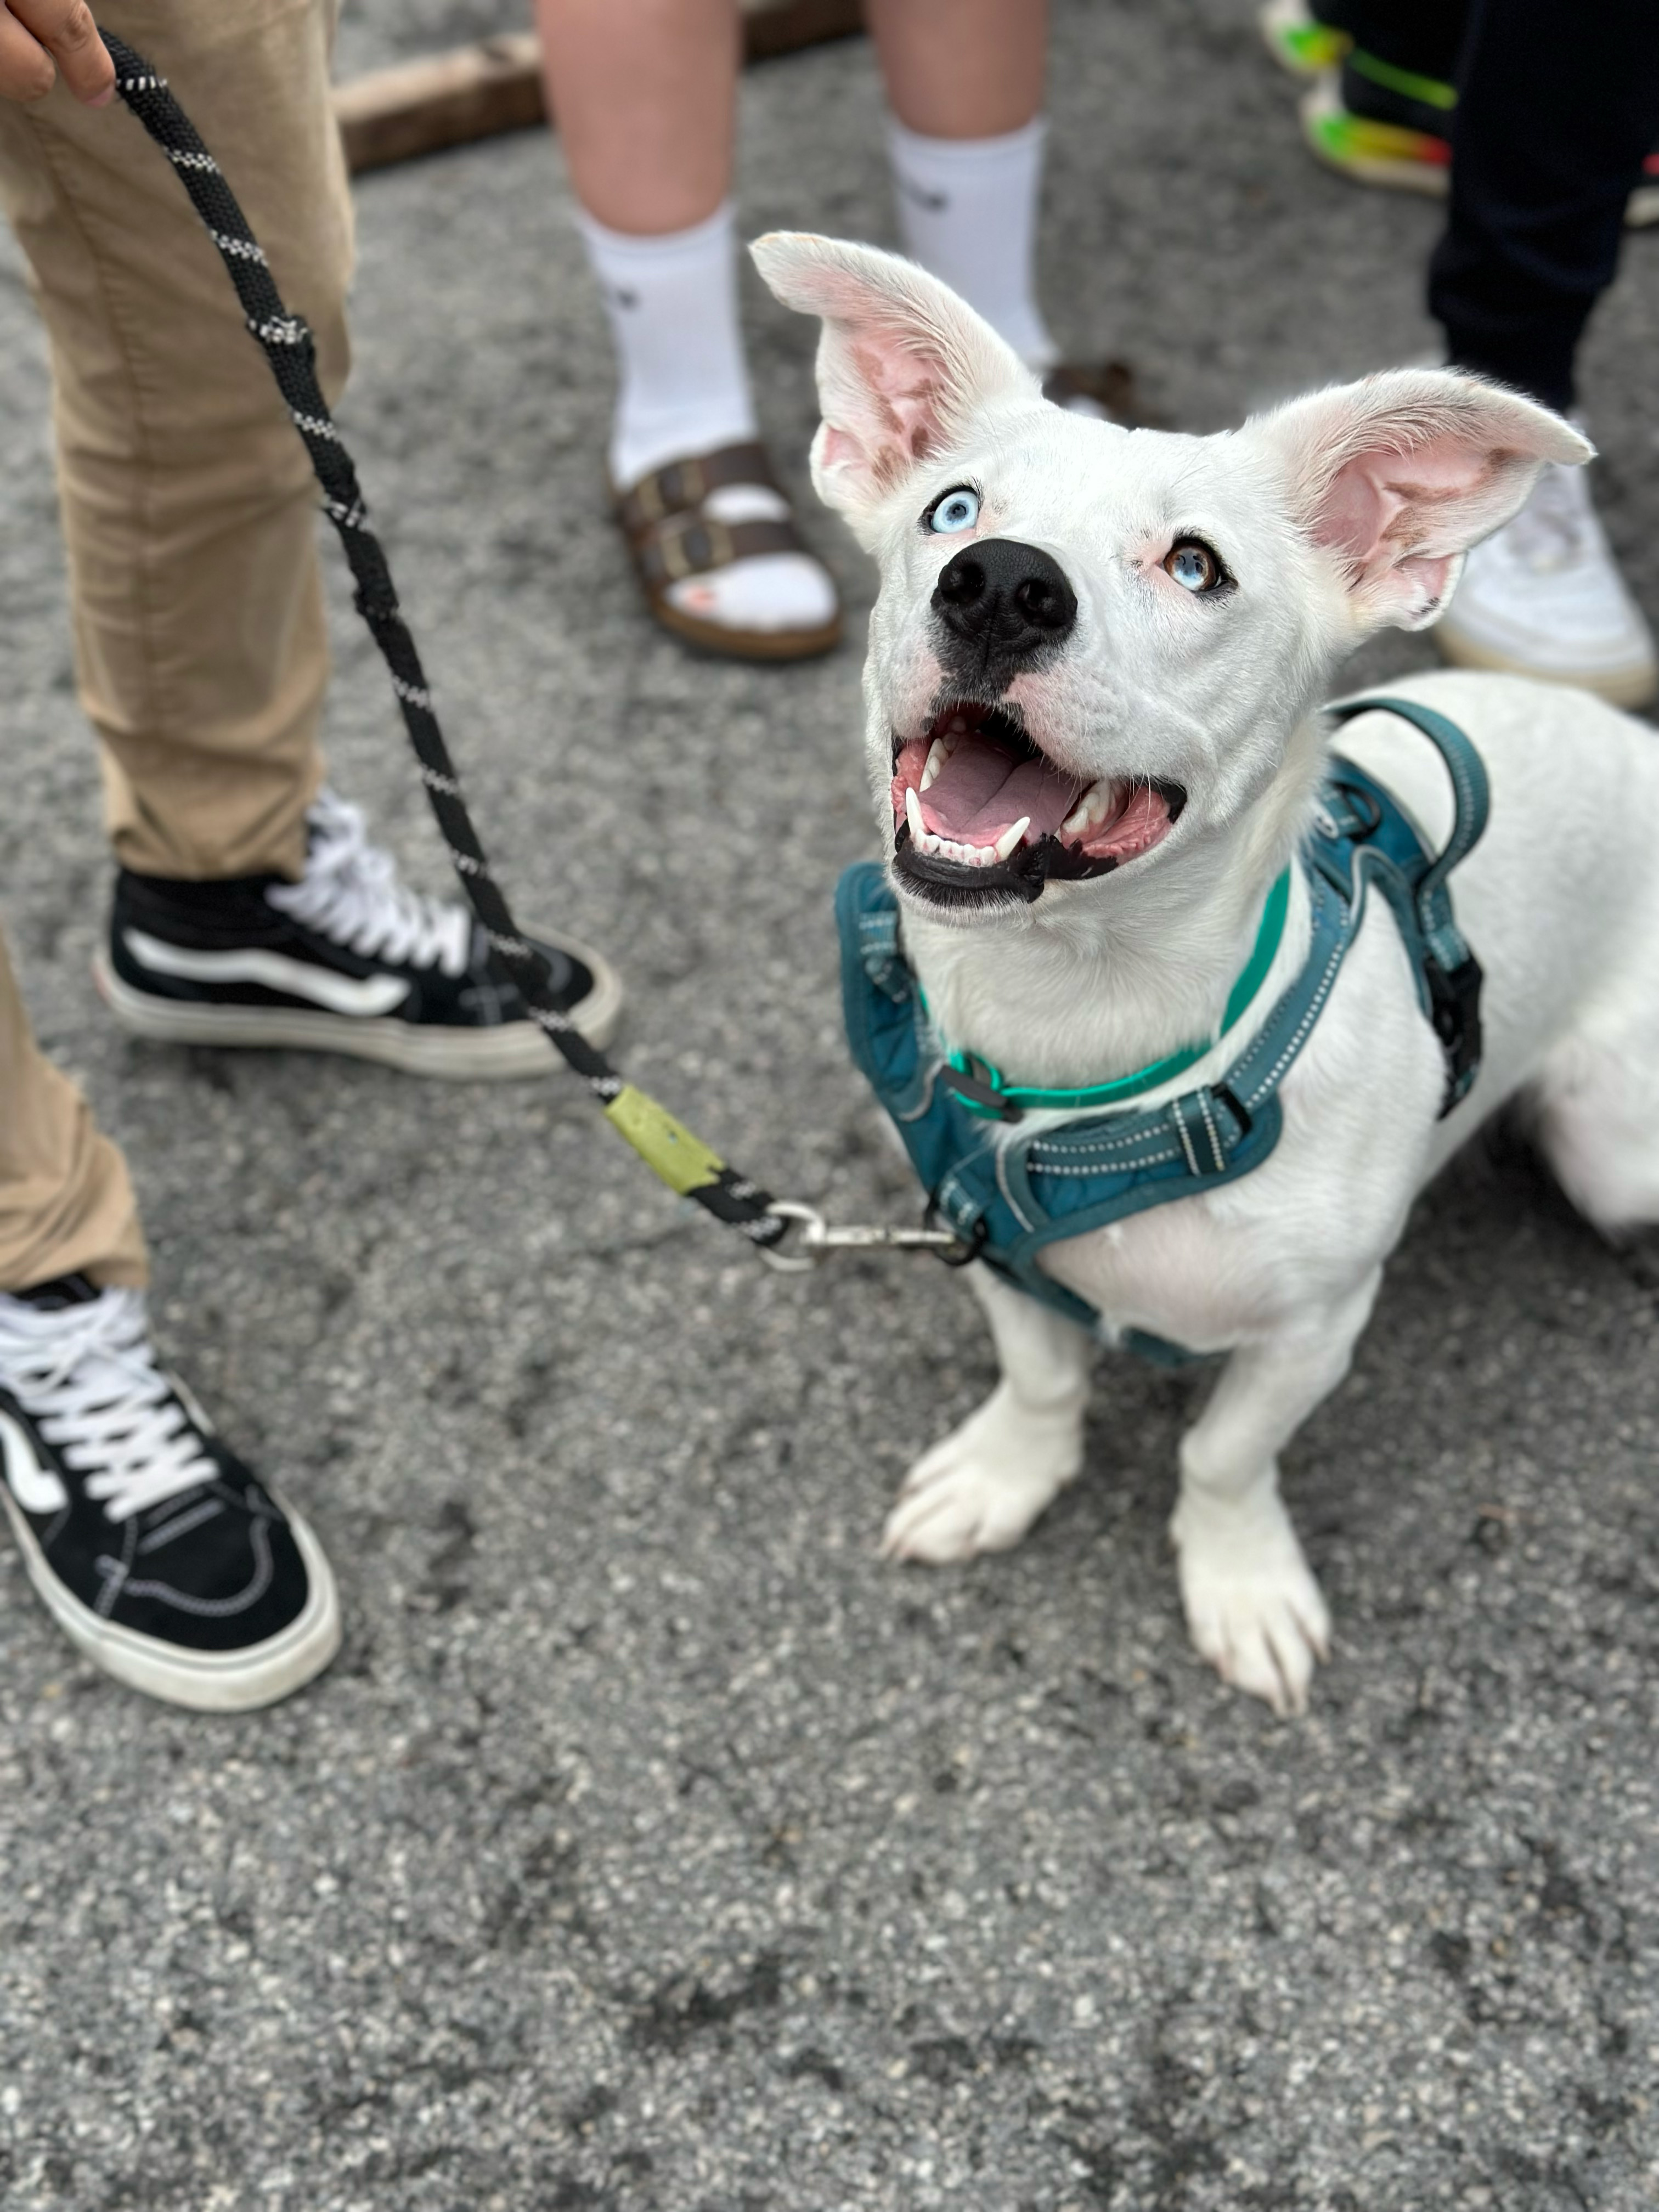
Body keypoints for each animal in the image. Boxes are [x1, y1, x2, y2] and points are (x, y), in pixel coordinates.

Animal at [752, 233, 1659, 1707]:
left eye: (1196, 566)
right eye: (954, 508)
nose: (998, 584)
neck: (1088, 1021)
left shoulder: (1314, 1329)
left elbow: (1223, 1457)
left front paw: (1241, 1583)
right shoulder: (987, 1242)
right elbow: (1044, 1383)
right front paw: (1007, 1476)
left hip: (1616, 1149)